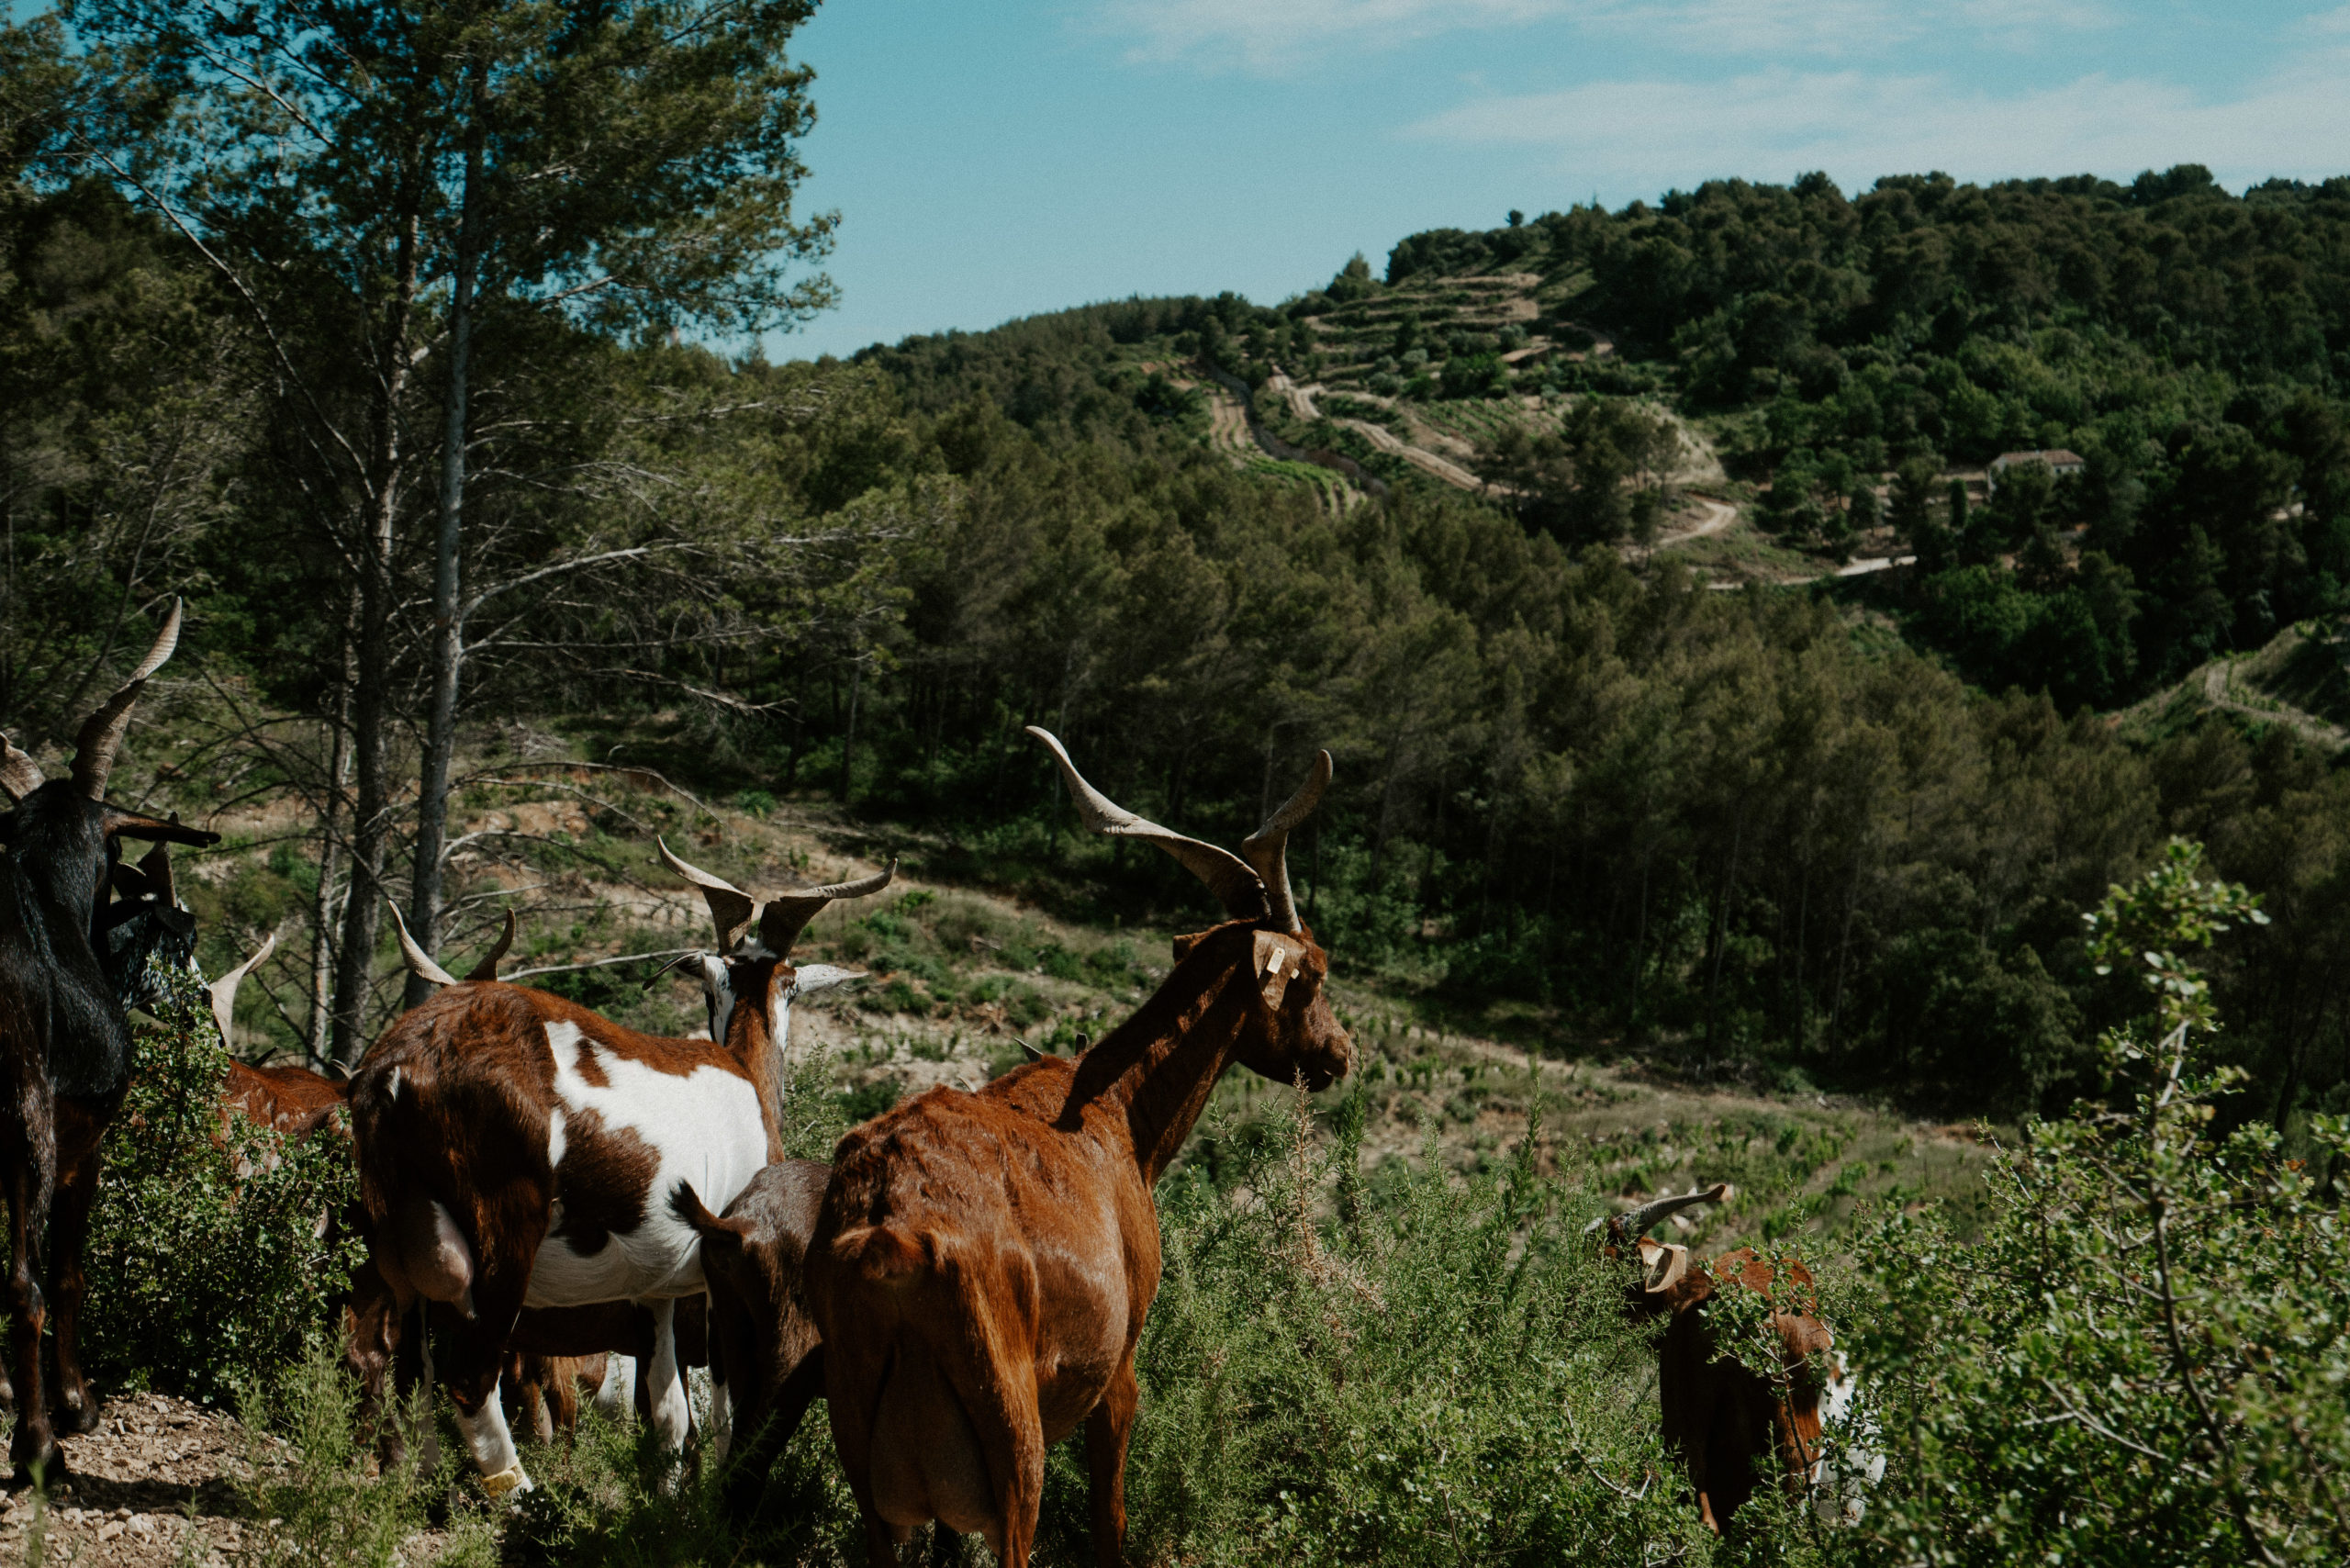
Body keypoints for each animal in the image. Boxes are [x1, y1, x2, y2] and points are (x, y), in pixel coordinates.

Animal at [336, 841, 878, 1504]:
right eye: (793, 986)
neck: (742, 1075)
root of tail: (399, 1067)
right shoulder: (720, 1280)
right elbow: (723, 1414)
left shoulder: (656, 1291)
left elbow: (668, 1413)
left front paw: (667, 1499)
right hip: (503, 1243)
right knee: (469, 1377)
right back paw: (522, 1498)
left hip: (406, 1256)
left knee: (410, 1369)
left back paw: (424, 1484)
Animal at [808, 728, 1353, 1561]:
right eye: (1312, 973)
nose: (1342, 1054)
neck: (1117, 1117)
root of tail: (888, 1237)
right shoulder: (1121, 1368)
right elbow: (1110, 1520)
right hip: (1014, 1444)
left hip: (865, 1452)